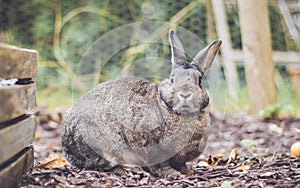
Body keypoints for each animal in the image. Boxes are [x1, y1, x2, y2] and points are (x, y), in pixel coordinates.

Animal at [61, 30, 221, 177]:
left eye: (199, 80)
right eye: (172, 79)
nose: (185, 94)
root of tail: (66, 146)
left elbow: (180, 164)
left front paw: (187, 172)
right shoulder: (153, 146)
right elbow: (161, 164)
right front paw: (173, 174)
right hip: (105, 145)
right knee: (101, 164)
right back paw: (132, 169)